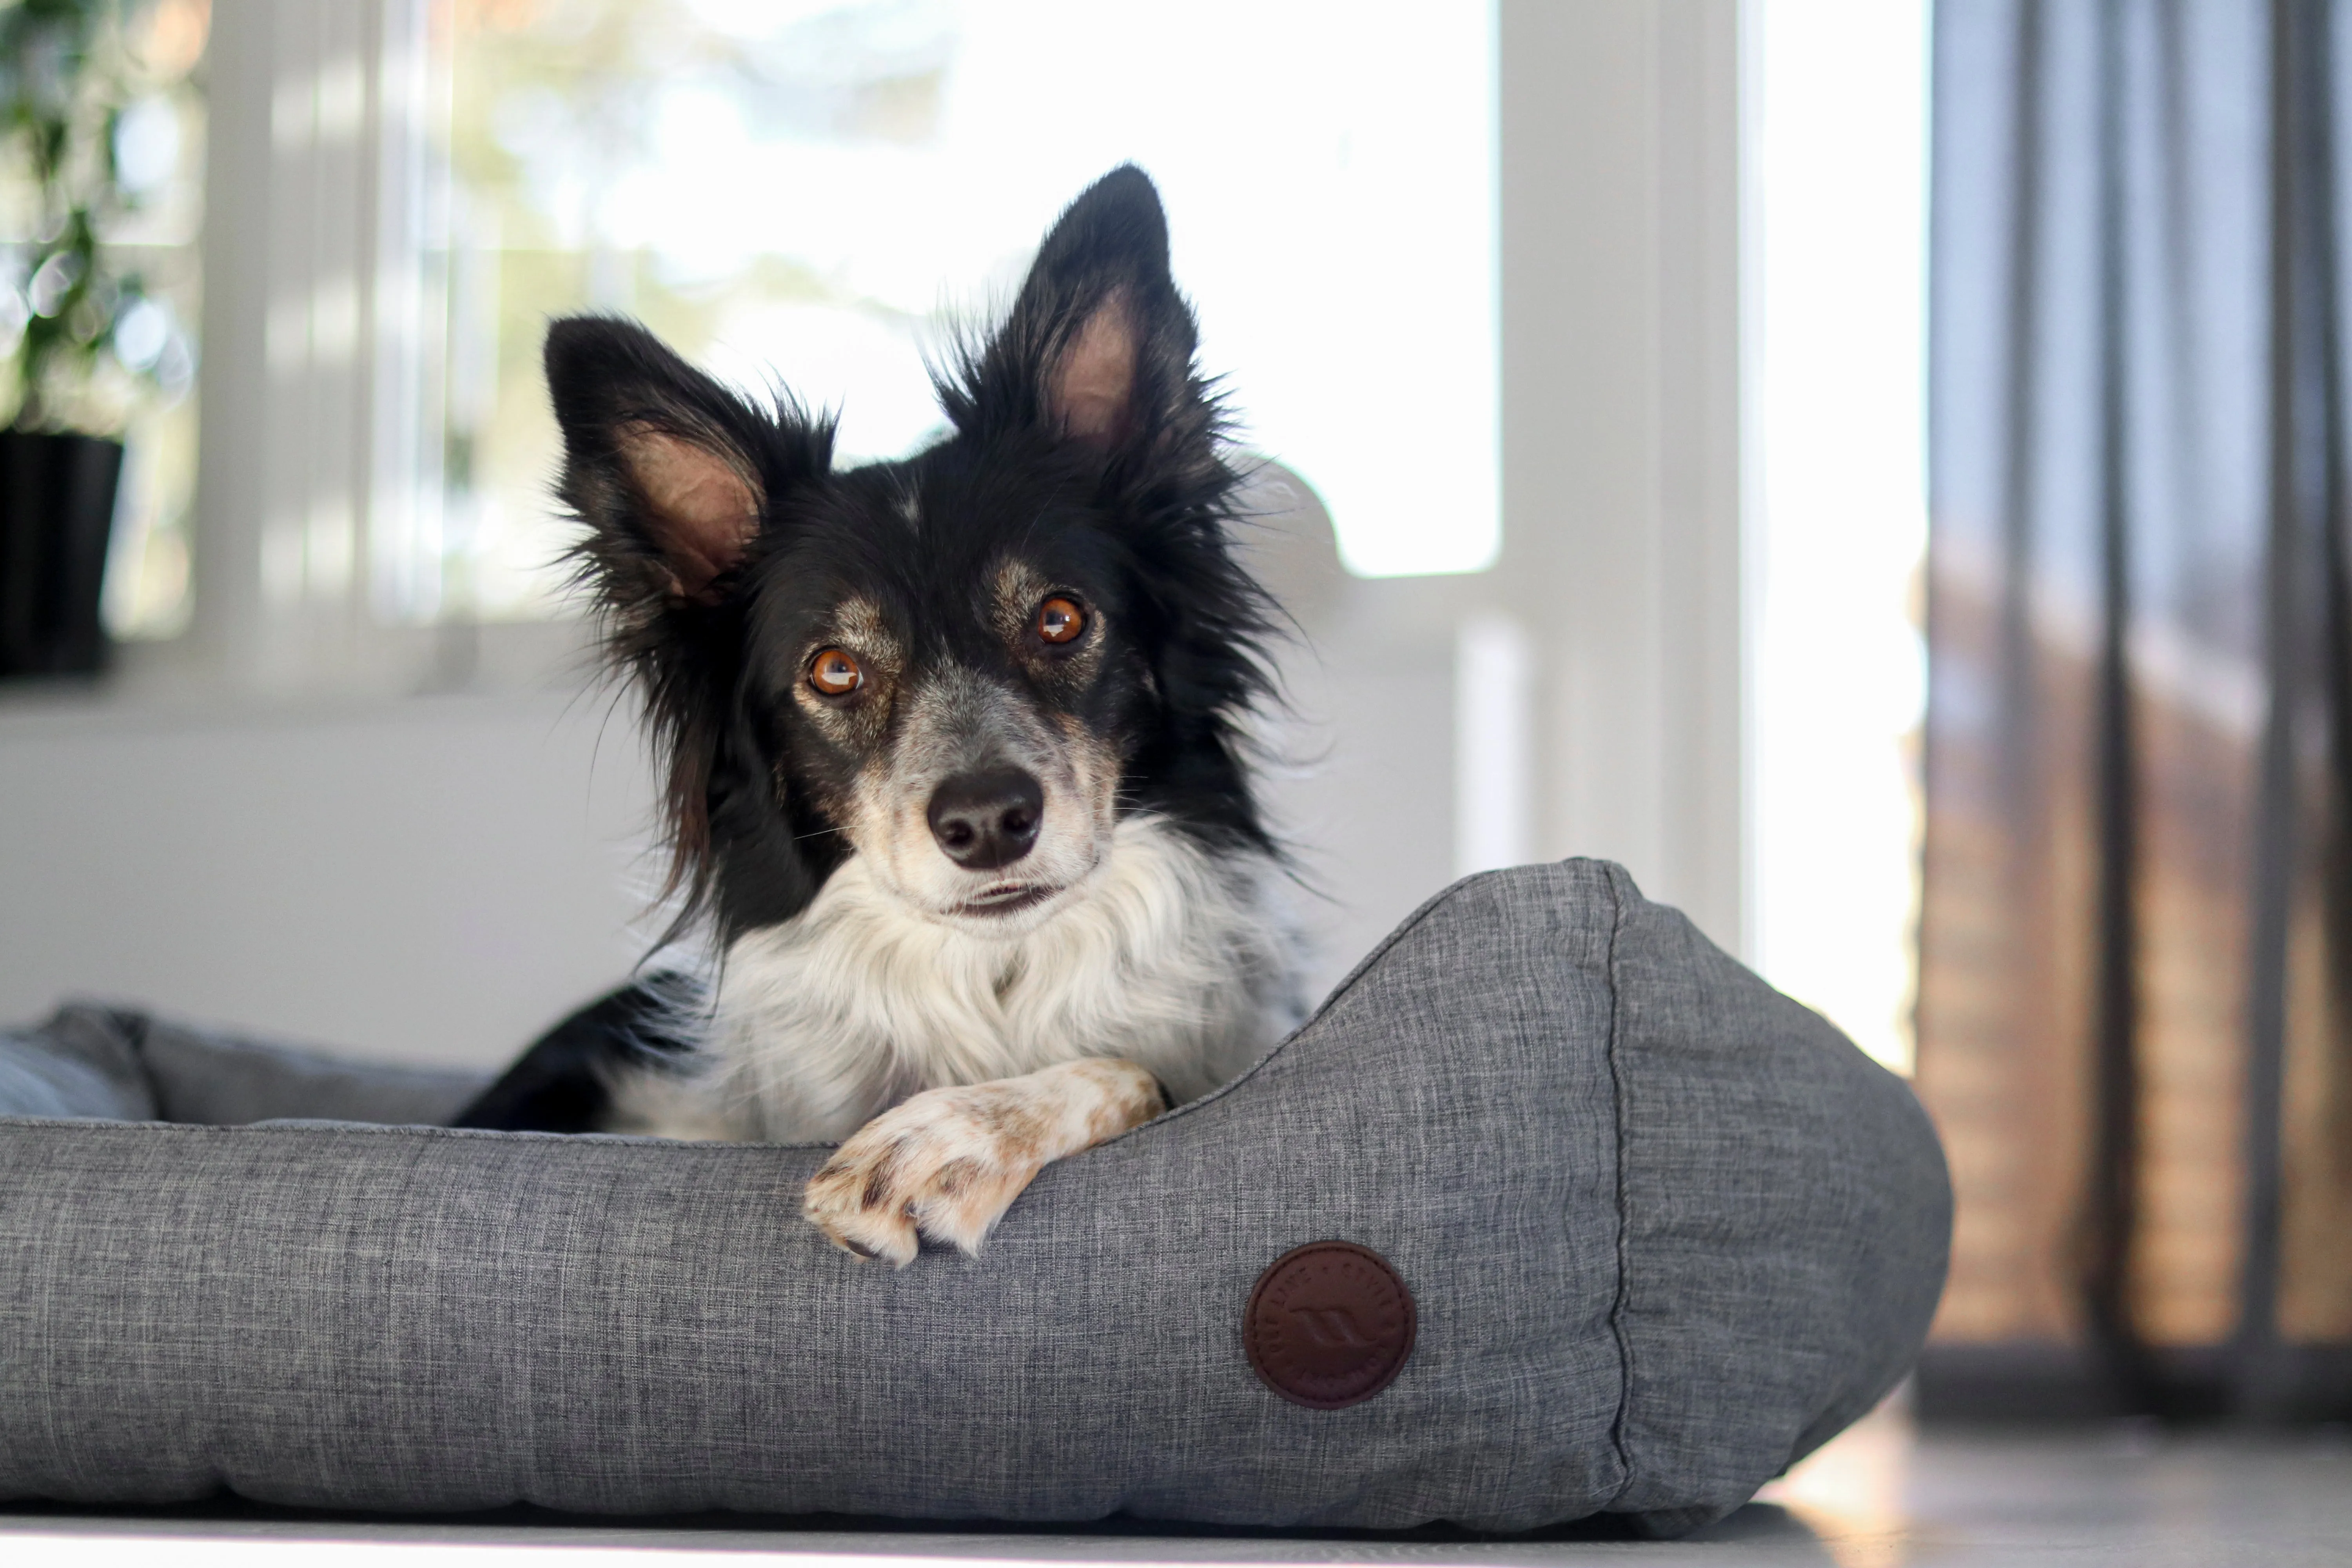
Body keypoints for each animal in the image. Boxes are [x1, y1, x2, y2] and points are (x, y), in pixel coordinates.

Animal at [459, 169, 1308, 1260]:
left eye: (1060, 617)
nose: (988, 821)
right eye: (833, 671)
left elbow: (1132, 1073)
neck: (992, 982)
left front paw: (954, 1134)